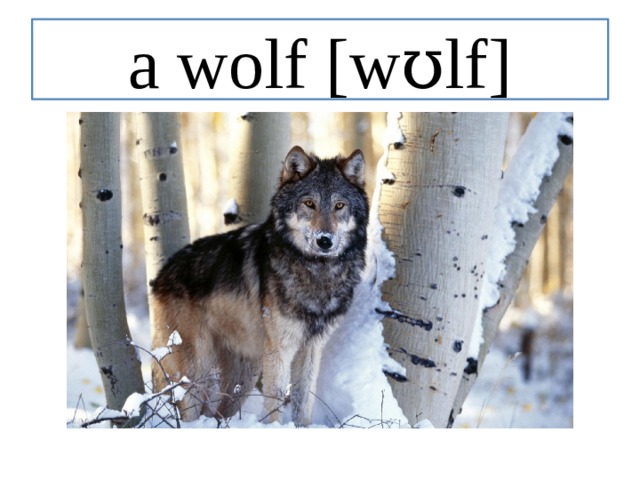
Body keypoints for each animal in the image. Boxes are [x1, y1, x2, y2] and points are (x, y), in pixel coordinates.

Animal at [150, 146, 369, 426]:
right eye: (309, 203)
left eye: (339, 206)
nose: (325, 240)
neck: (317, 272)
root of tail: (160, 276)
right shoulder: (279, 351)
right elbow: (274, 406)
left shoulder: (311, 349)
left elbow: (304, 404)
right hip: (198, 369)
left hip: (245, 374)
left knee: (218, 414)